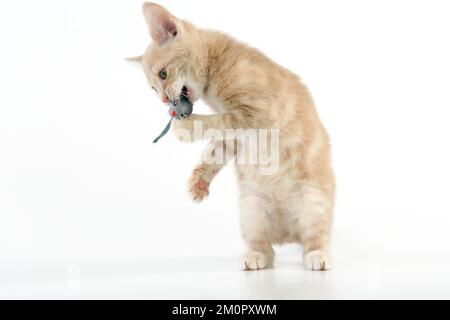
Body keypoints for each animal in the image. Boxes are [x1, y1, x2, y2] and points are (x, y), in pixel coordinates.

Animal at [133, 3, 334, 272]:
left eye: (163, 74)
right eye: (153, 89)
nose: (165, 100)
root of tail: (287, 234)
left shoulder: (261, 116)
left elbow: (222, 121)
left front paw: (188, 127)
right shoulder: (237, 138)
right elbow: (216, 149)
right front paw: (200, 181)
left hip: (314, 201)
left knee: (315, 237)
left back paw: (317, 255)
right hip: (251, 210)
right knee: (263, 246)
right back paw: (255, 256)